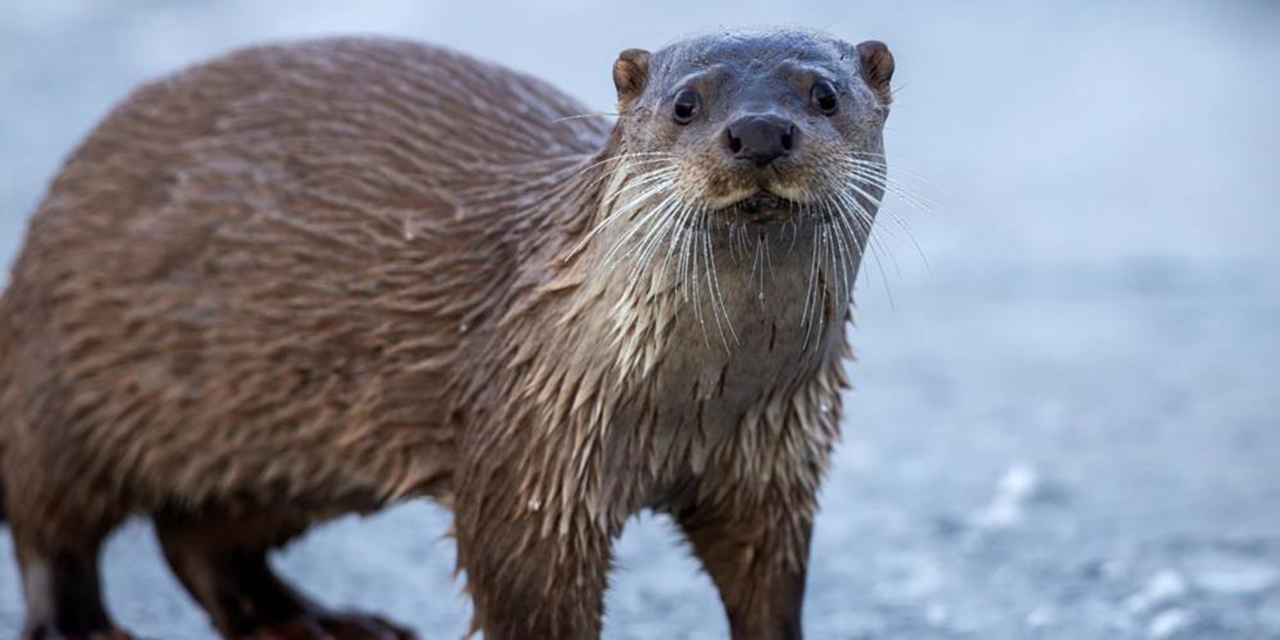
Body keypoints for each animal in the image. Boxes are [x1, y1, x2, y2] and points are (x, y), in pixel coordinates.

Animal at [0, 28, 896, 640]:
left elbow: (770, 584)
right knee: (50, 520)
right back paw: (84, 623)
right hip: (63, 373)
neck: (696, 403)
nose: (760, 132)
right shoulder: (529, 453)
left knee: (197, 538)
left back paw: (311, 621)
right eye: (687, 104)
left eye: (823, 94)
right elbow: (524, 587)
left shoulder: (777, 457)